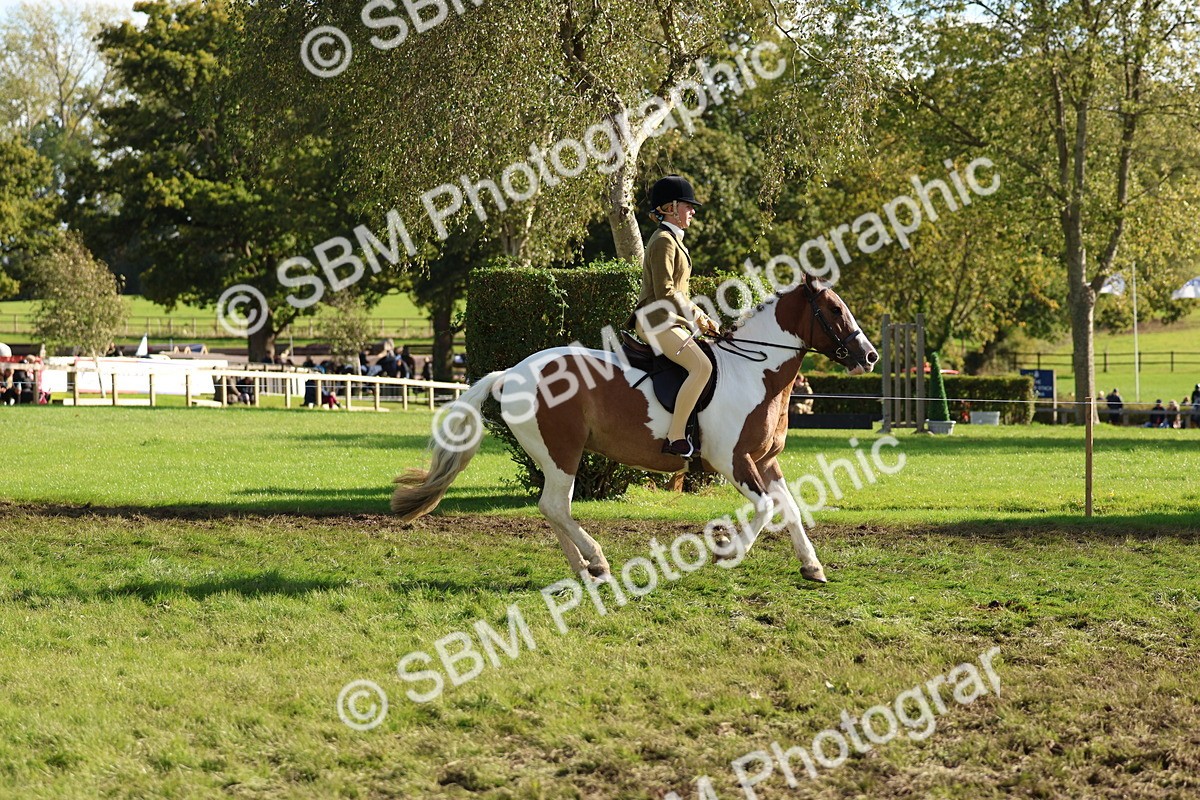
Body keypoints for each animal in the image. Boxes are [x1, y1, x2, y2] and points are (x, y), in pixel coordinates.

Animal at [391, 276, 878, 584]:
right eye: (834, 309)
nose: (869, 357)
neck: (755, 373)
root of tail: (511, 372)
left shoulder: (765, 462)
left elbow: (790, 508)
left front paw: (812, 567)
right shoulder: (733, 461)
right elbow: (765, 509)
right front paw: (728, 551)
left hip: (556, 456)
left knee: (553, 509)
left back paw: (586, 569)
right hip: (561, 453)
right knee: (555, 505)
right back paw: (597, 562)